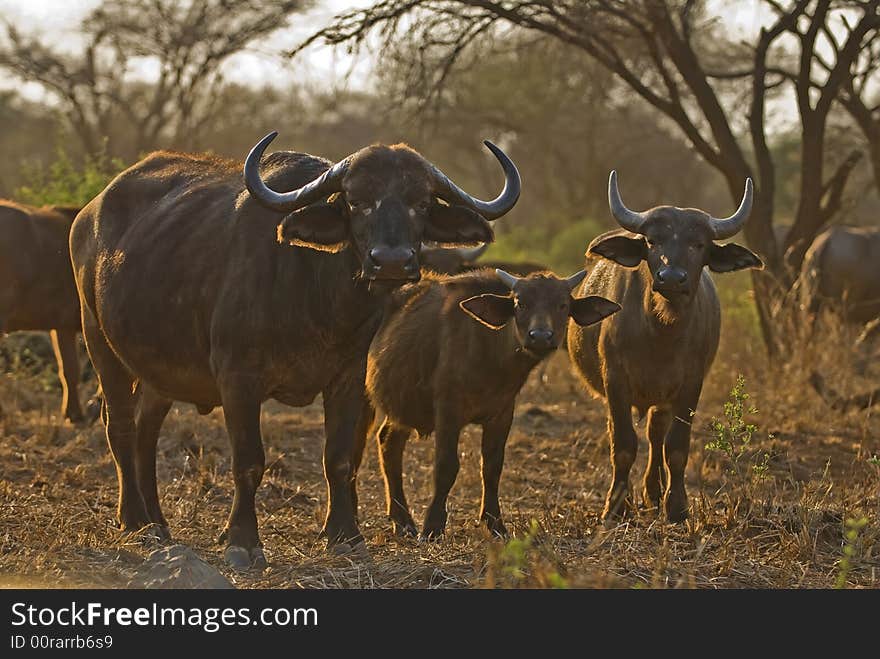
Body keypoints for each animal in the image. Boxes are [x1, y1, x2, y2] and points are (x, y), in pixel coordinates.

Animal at [74, 133, 524, 568]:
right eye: (356, 200)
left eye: (422, 202)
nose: (392, 261)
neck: (317, 294)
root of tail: (88, 215)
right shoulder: (238, 378)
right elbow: (249, 461)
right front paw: (243, 542)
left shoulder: (348, 377)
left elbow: (339, 457)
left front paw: (345, 537)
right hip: (99, 342)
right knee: (120, 426)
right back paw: (134, 521)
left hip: (160, 370)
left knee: (146, 432)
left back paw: (157, 522)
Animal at [358, 270, 620, 540]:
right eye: (520, 303)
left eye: (562, 305)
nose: (540, 337)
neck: (492, 358)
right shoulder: (448, 411)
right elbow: (446, 466)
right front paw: (433, 525)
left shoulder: (502, 414)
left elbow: (493, 467)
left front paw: (495, 523)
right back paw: (404, 522)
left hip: (402, 408)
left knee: (388, 442)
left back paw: (402, 520)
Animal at [568, 173, 760, 524]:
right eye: (652, 241)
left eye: (698, 244)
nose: (671, 277)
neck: (660, 332)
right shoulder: (615, 379)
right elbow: (623, 444)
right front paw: (615, 506)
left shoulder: (690, 384)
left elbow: (676, 447)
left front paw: (677, 506)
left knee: (656, 434)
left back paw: (654, 492)